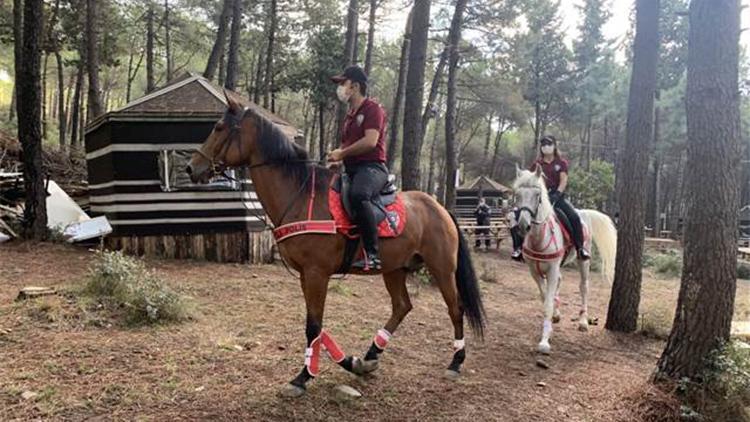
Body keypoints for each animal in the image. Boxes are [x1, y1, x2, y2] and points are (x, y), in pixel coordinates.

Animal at [188, 94, 488, 398]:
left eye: (219, 128)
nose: (191, 167)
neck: (299, 196)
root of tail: (440, 208)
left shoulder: (317, 273)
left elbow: (313, 327)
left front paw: (303, 377)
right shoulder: (307, 275)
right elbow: (317, 325)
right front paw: (351, 363)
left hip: (442, 269)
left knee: (455, 308)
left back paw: (456, 361)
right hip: (395, 269)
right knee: (402, 306)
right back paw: (371, 354)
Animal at [516, 166, 620, 354]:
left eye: (537, 195)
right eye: (517, 194)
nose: (523, 225)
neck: (539, 239)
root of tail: (583, 212)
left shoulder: (552, 269)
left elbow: (548, 302)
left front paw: (544, 342)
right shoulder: (534, 271)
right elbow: (545, 298)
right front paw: (553, 320)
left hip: (583, 260)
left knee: (584, 287)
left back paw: (583, 322)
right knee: (561, 281)